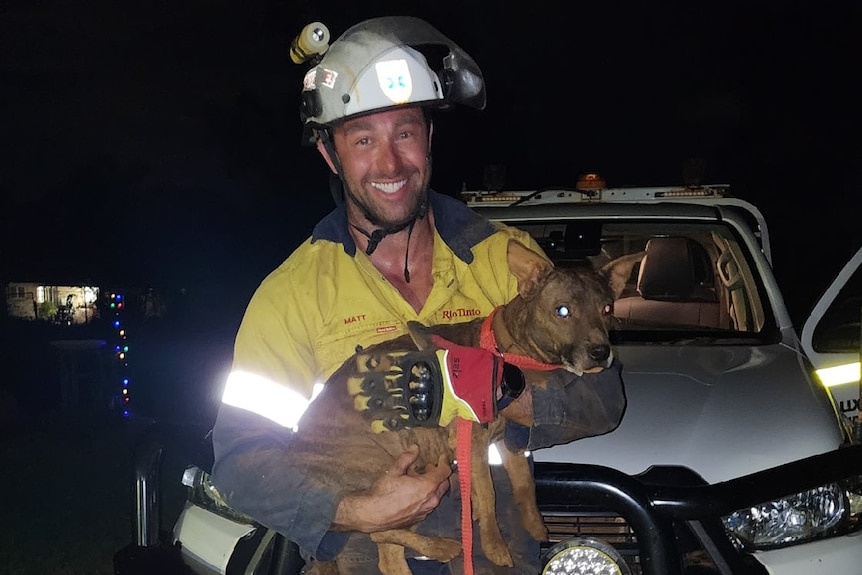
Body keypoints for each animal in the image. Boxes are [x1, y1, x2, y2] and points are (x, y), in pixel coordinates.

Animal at [296, 241, 640, 572]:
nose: (601, 353)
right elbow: (488, 494)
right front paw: (494, 545)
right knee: (381, 530)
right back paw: (444, 547)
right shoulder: (473, 442)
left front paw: (534, 526)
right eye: (563, 311)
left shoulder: (508, 440)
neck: (509, 352)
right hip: (394, 472)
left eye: (607, 308)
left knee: (388, 553)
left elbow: (524, 484)